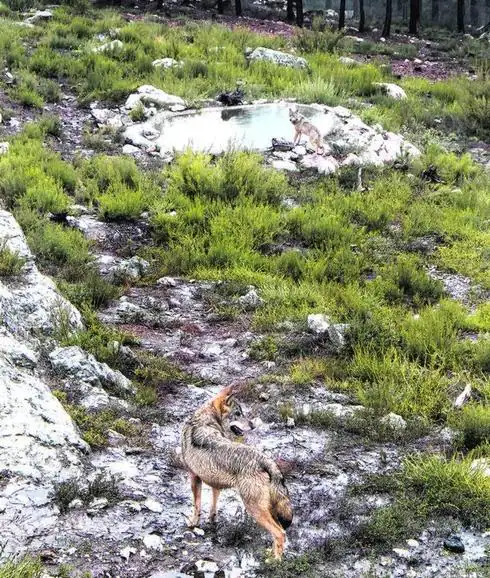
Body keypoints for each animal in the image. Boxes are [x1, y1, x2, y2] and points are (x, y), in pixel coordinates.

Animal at [181, 384, 292, 556]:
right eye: (238, 414)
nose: (253, 425)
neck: (204, 421)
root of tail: (265, 460)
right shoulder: (215, 483)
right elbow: (213, 505)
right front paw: (212, 520)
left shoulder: (194, 477)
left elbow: (196, 505)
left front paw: (193, 524)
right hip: (269, 508)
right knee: (281, 531)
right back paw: (271, 554)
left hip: (254, 509)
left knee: (279, 533)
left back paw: (274, 560)